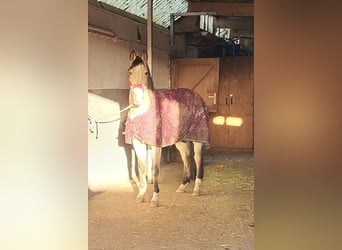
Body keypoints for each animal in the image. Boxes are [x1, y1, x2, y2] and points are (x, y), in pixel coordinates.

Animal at [124, 49, 210, 206]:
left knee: (197, 159)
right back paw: (183, 186)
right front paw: (141, 195)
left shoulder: (155, 145)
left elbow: (155, 170)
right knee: (186, 157)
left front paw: (155, 198)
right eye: (130, 72)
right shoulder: (137, 143)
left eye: (146, 72)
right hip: (180, 140)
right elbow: (142, 169)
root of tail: (196, 95)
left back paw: (196, 189)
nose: (138, 99)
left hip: (198, 140)